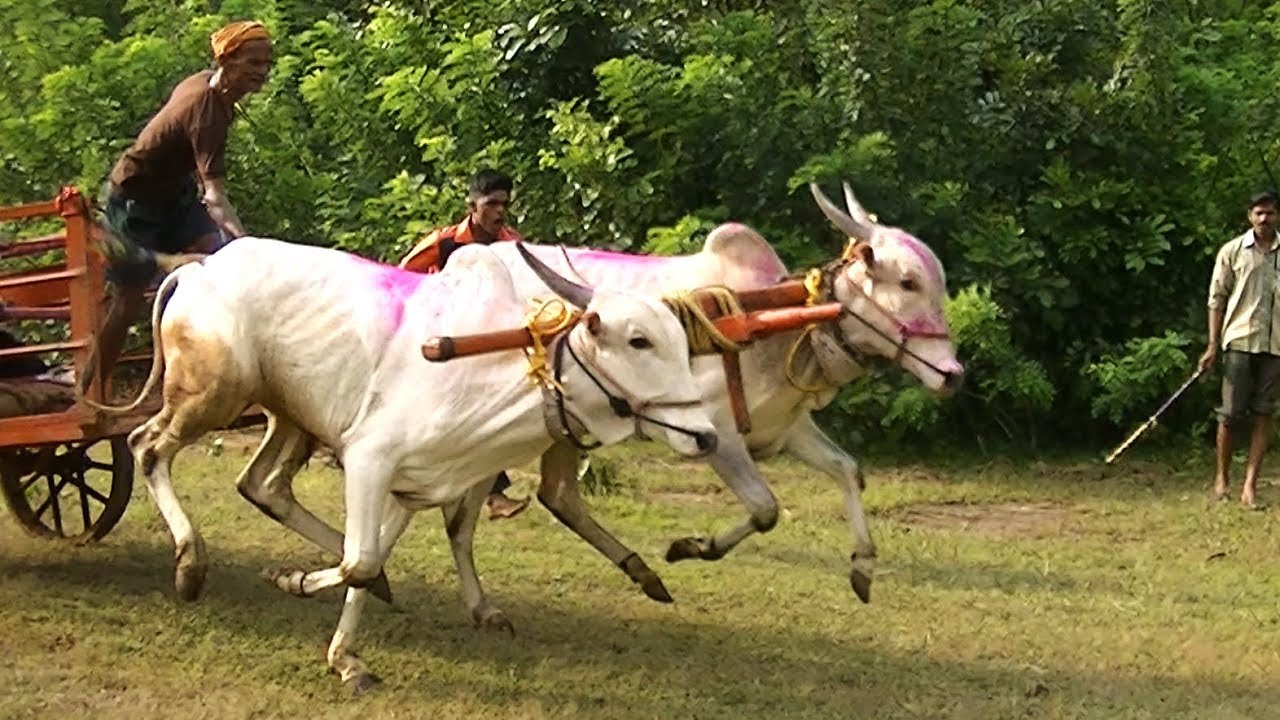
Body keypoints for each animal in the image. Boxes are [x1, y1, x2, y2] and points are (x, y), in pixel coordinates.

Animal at [104, 238, 720, 690]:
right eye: (638, 340)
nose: (707, 435)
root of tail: (200, 268)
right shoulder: (369, 459)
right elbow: (359, 561)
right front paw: (298, 585)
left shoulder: (418, 482)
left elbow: (379, 556)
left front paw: (346, 651)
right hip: (212, 395)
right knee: (147, 446)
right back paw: (190, 564)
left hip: (288, 415)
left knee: (263, 485)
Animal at [479, 181, 964, 603]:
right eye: (907, 282)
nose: (953, 374)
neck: (773, 326)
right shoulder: (718, 435)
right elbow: (766, 509)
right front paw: (694, 546)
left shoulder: (787, 428)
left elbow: (848, 470)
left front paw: (863, 567)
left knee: (559, 496)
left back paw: (642, 572)